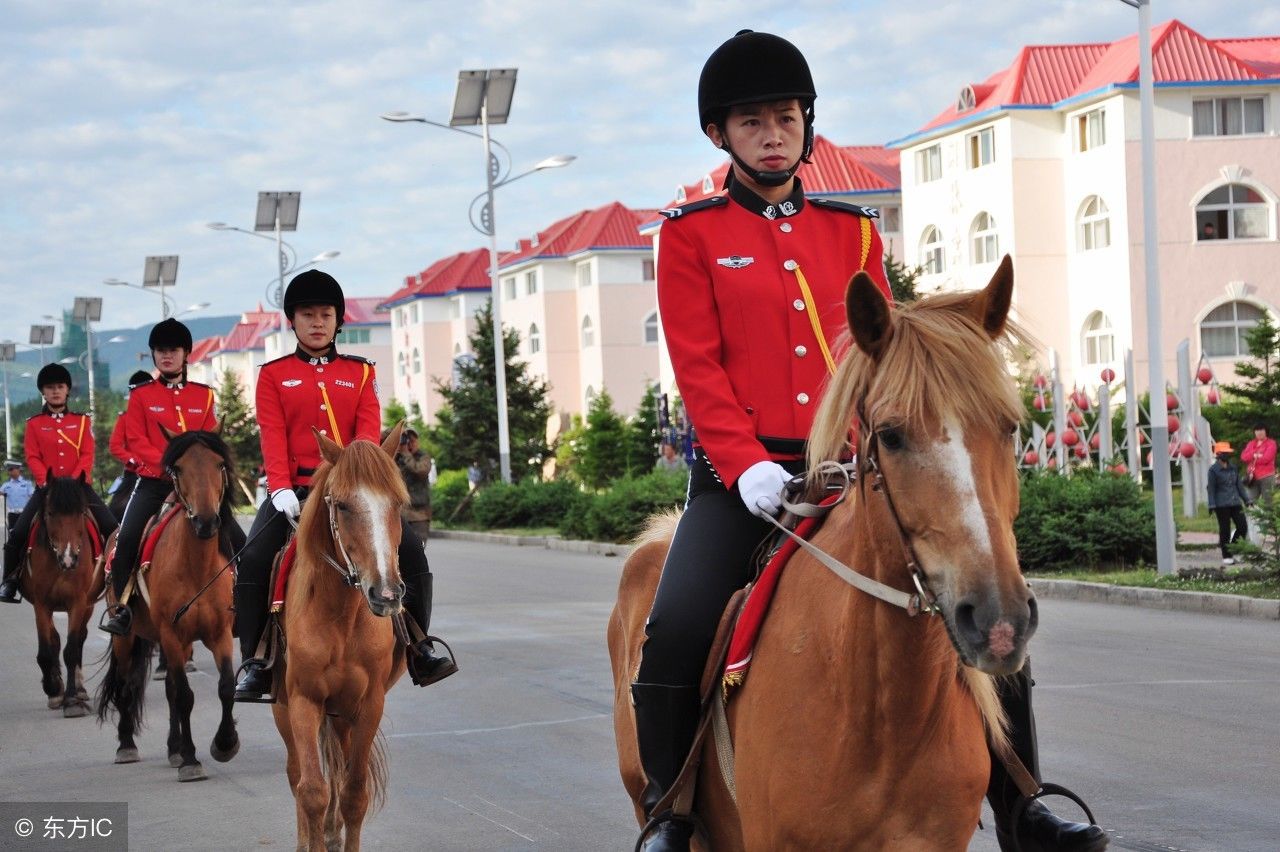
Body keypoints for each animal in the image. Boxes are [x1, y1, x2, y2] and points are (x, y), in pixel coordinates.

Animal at [18, 473, 103, 711]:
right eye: (50, 513)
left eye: (81, 513)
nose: (69, 558)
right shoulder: (41, 604)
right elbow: (46, 650)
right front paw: (53, 689)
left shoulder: (78, 602)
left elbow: (72, 648)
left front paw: (72, 699)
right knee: (55, 640)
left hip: (88, 605)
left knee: (80, 638)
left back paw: (79, 689)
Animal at [96, 427, 240, 777]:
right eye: (178, 468)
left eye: (219, 464)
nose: (206, 522)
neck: (197, 566)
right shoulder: (172, 635)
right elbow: (186, 695)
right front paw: (190, 759)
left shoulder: (219, 634)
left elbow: (225, 686)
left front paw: (224, 743)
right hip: (128, 636)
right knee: (127, 684)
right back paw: (127, 745)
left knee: (169, 689)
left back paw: (173, 748)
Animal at [272, 424, 407, 849]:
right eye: (343, 506)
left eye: (398, 504)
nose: (386, 594)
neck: (342, 616)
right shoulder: (304, 700)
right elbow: (312, 791)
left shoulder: (368, 704)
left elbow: (353, 793)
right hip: (283, 705)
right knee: (296, 774)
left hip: (343, 714)